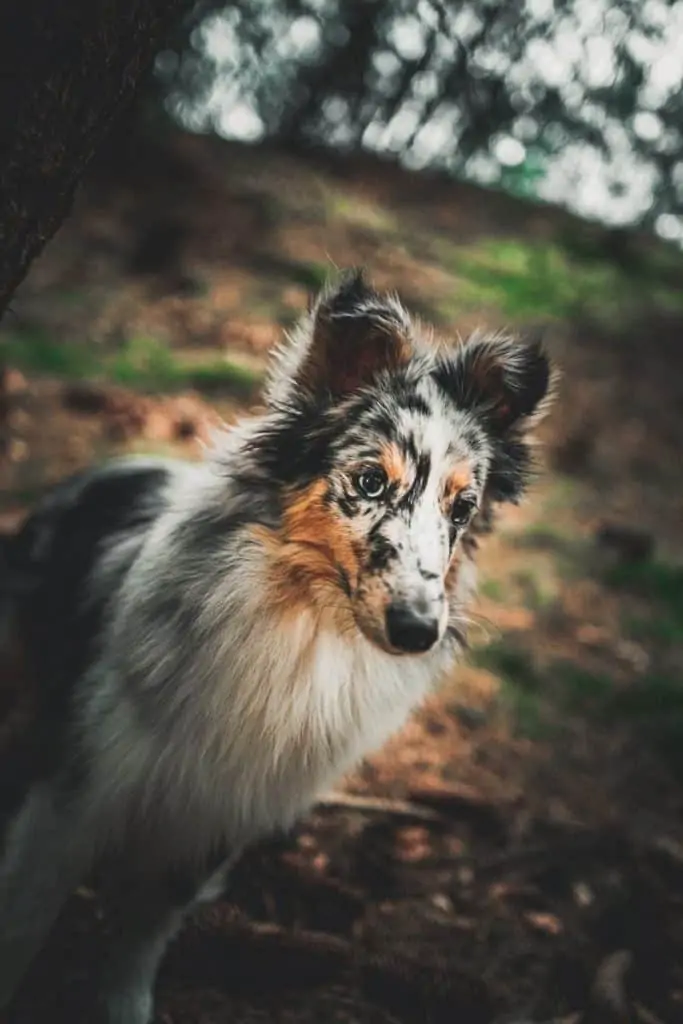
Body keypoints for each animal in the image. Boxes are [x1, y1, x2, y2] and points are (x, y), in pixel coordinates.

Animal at [0, 268, 557, 1019]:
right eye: (369, 481)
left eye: (462, 509)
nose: (418, 633)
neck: (305, 622)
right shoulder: (72, 788)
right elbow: (25, 919)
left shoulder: (220, 809)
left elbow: (141, 935)